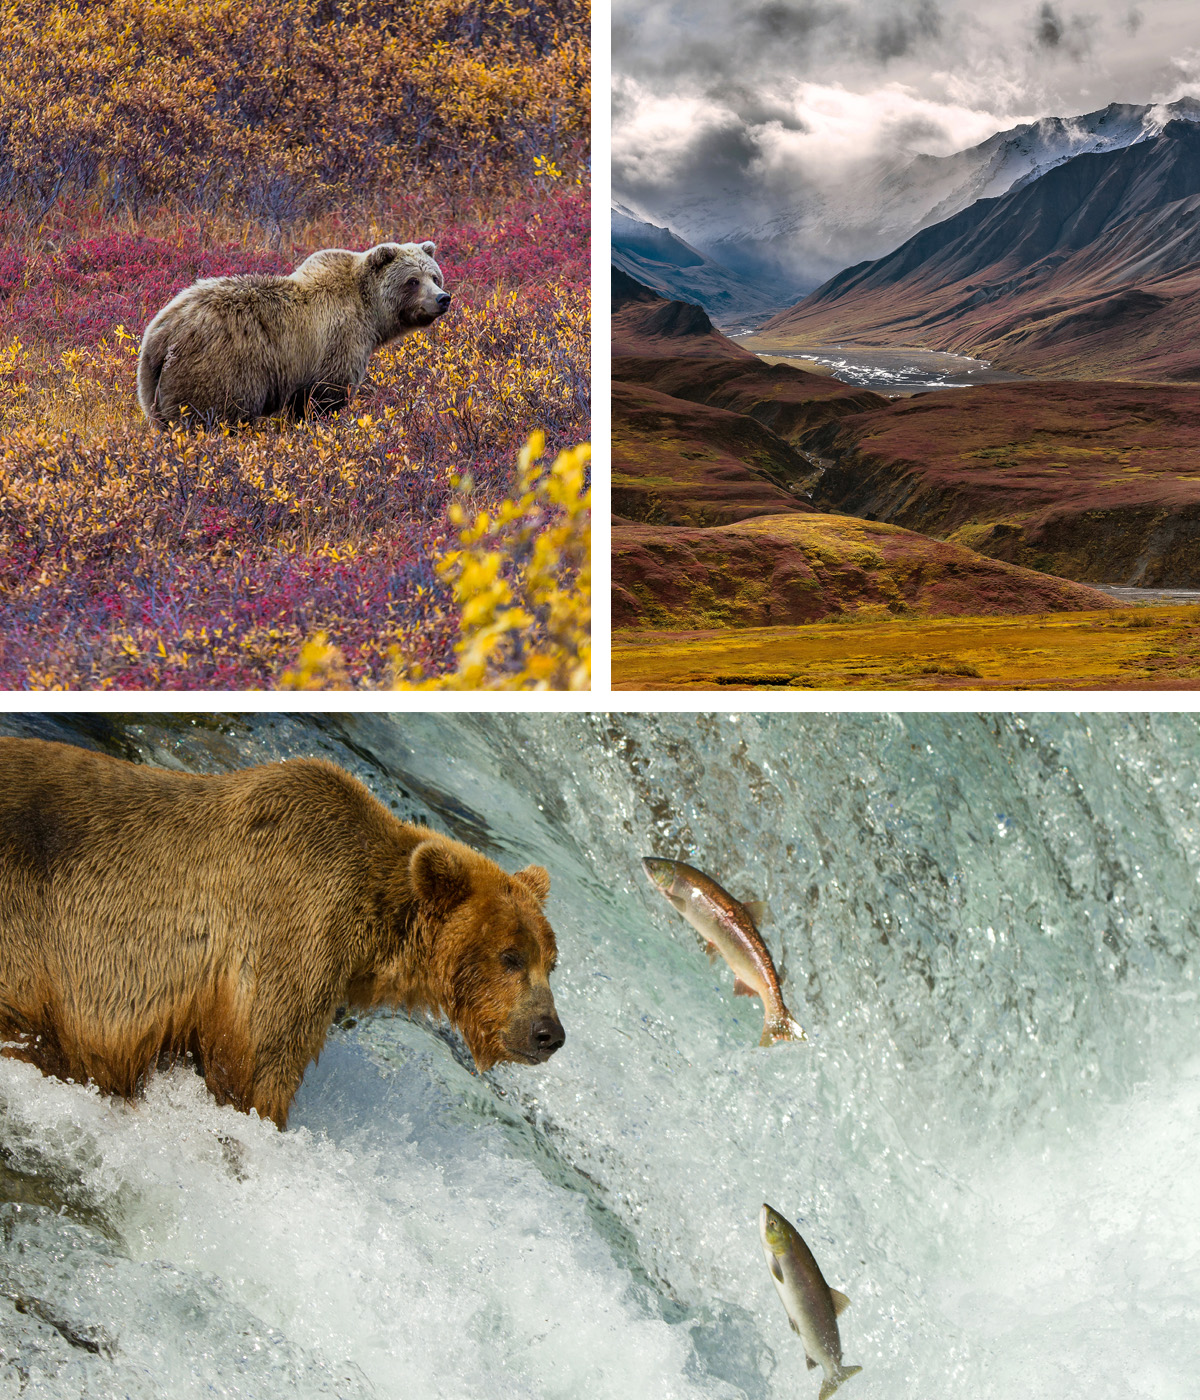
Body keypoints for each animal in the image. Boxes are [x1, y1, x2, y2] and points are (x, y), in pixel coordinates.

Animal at [136, 241, 452, 428]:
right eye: (413, 280)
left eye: (435, 276)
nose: (442, 298)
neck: (370, 312)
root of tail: (161, 334)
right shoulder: (337, 342)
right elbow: (323, 397)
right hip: (217, 370)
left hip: (152, 387)